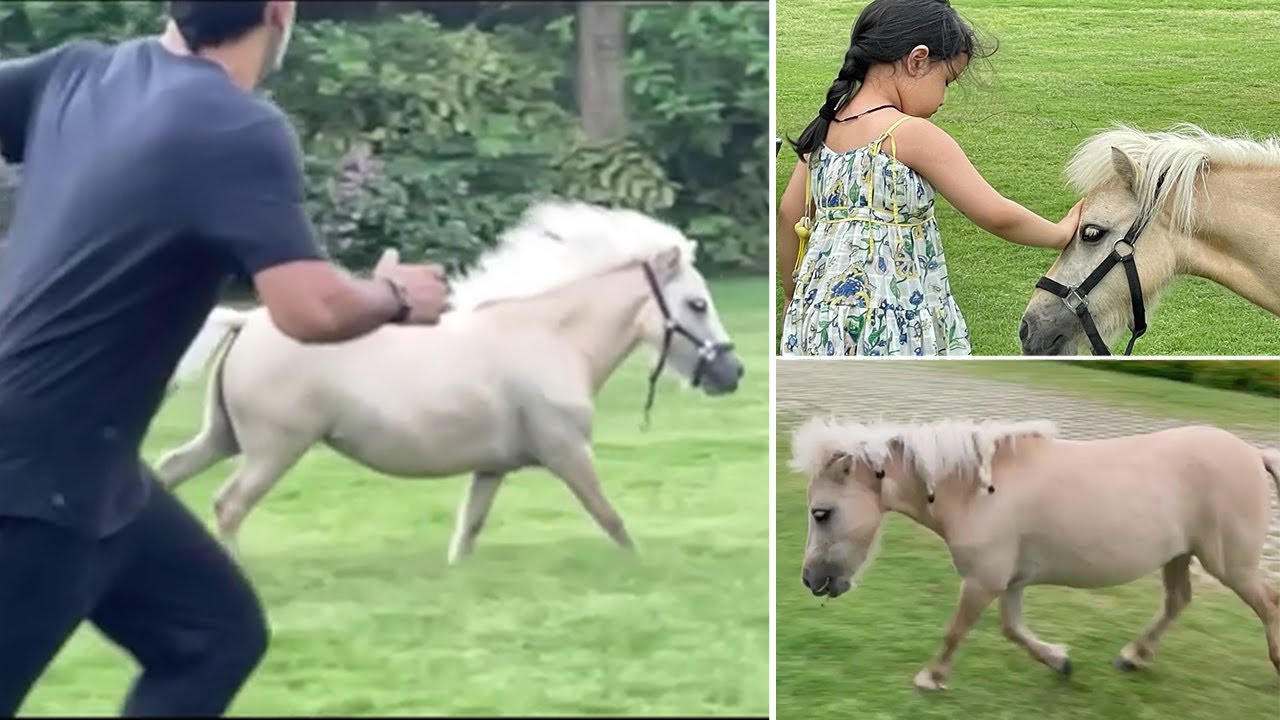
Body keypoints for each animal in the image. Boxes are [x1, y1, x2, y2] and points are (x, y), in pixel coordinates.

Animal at [156, 199, 745, 564]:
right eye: (697, 304)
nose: (732, 372)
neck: (553, 338)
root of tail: (245, 322)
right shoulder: (568, 453)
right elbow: (612, 520)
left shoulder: (492, 469)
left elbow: (468, 532)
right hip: (274, 450)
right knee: (229, 504)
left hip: (225, 438)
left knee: (169, 473)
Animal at [790, 417, 1280, 691]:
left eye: (821, 512)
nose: (811, 580)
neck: (975, 491)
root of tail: (1255, 455)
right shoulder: (1010, 582)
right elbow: (1012, 629)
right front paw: (1060, 662)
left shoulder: (983, 580)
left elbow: (955, 631)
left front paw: (931, 678)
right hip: (1180, 555)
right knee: (1178, 601)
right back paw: (1133, 656)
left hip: (1230, 564)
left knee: (1268, 604)